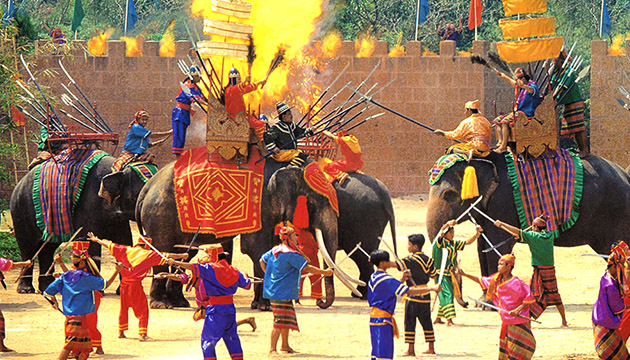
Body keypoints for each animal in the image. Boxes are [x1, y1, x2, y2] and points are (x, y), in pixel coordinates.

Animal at [10, 154, 149, 292]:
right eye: (135, 197)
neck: (118, 168)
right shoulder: (87, 206)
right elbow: (90, 243)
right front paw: (96, 290)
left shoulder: (119, 218)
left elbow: (124, 241)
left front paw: (121, 291)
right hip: (20, 210)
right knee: (27, 247)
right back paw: (26, 289)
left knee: (47, 248)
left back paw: (45, 287)